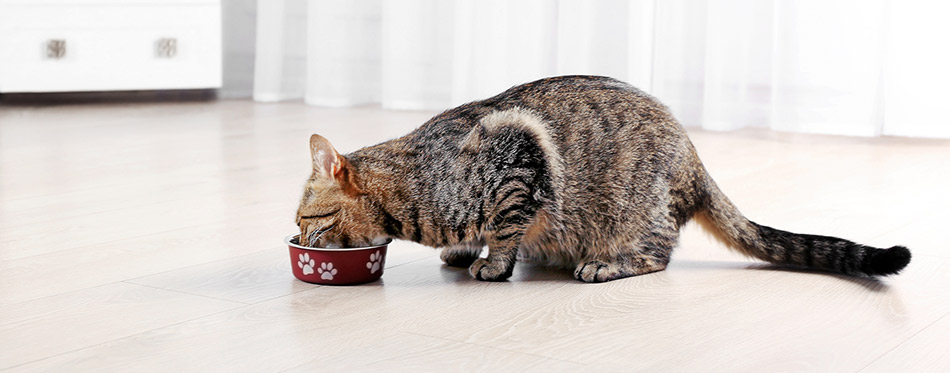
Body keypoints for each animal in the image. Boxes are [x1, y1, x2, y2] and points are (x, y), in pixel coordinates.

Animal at [294, 75, 912, 282]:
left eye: (304, 219)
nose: (297, 240)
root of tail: (694, 156)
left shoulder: (518, 160)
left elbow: (504, 228)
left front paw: (491, 263)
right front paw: (466, 251)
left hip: (635, 213)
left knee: (658, 254)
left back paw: (604, 265)